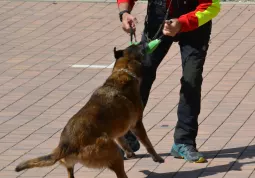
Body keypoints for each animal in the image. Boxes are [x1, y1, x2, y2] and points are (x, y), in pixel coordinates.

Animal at [14, 43, 164, 178]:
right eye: (140, 46)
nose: (147, 42)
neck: (123, 70)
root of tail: (66, 145)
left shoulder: (118, 132)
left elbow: (124, 142)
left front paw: (130, 154)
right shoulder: (137, 124)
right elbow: (148, 143)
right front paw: (157, 158)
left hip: (73, 167)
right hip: (113, 152)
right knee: (121, 174)